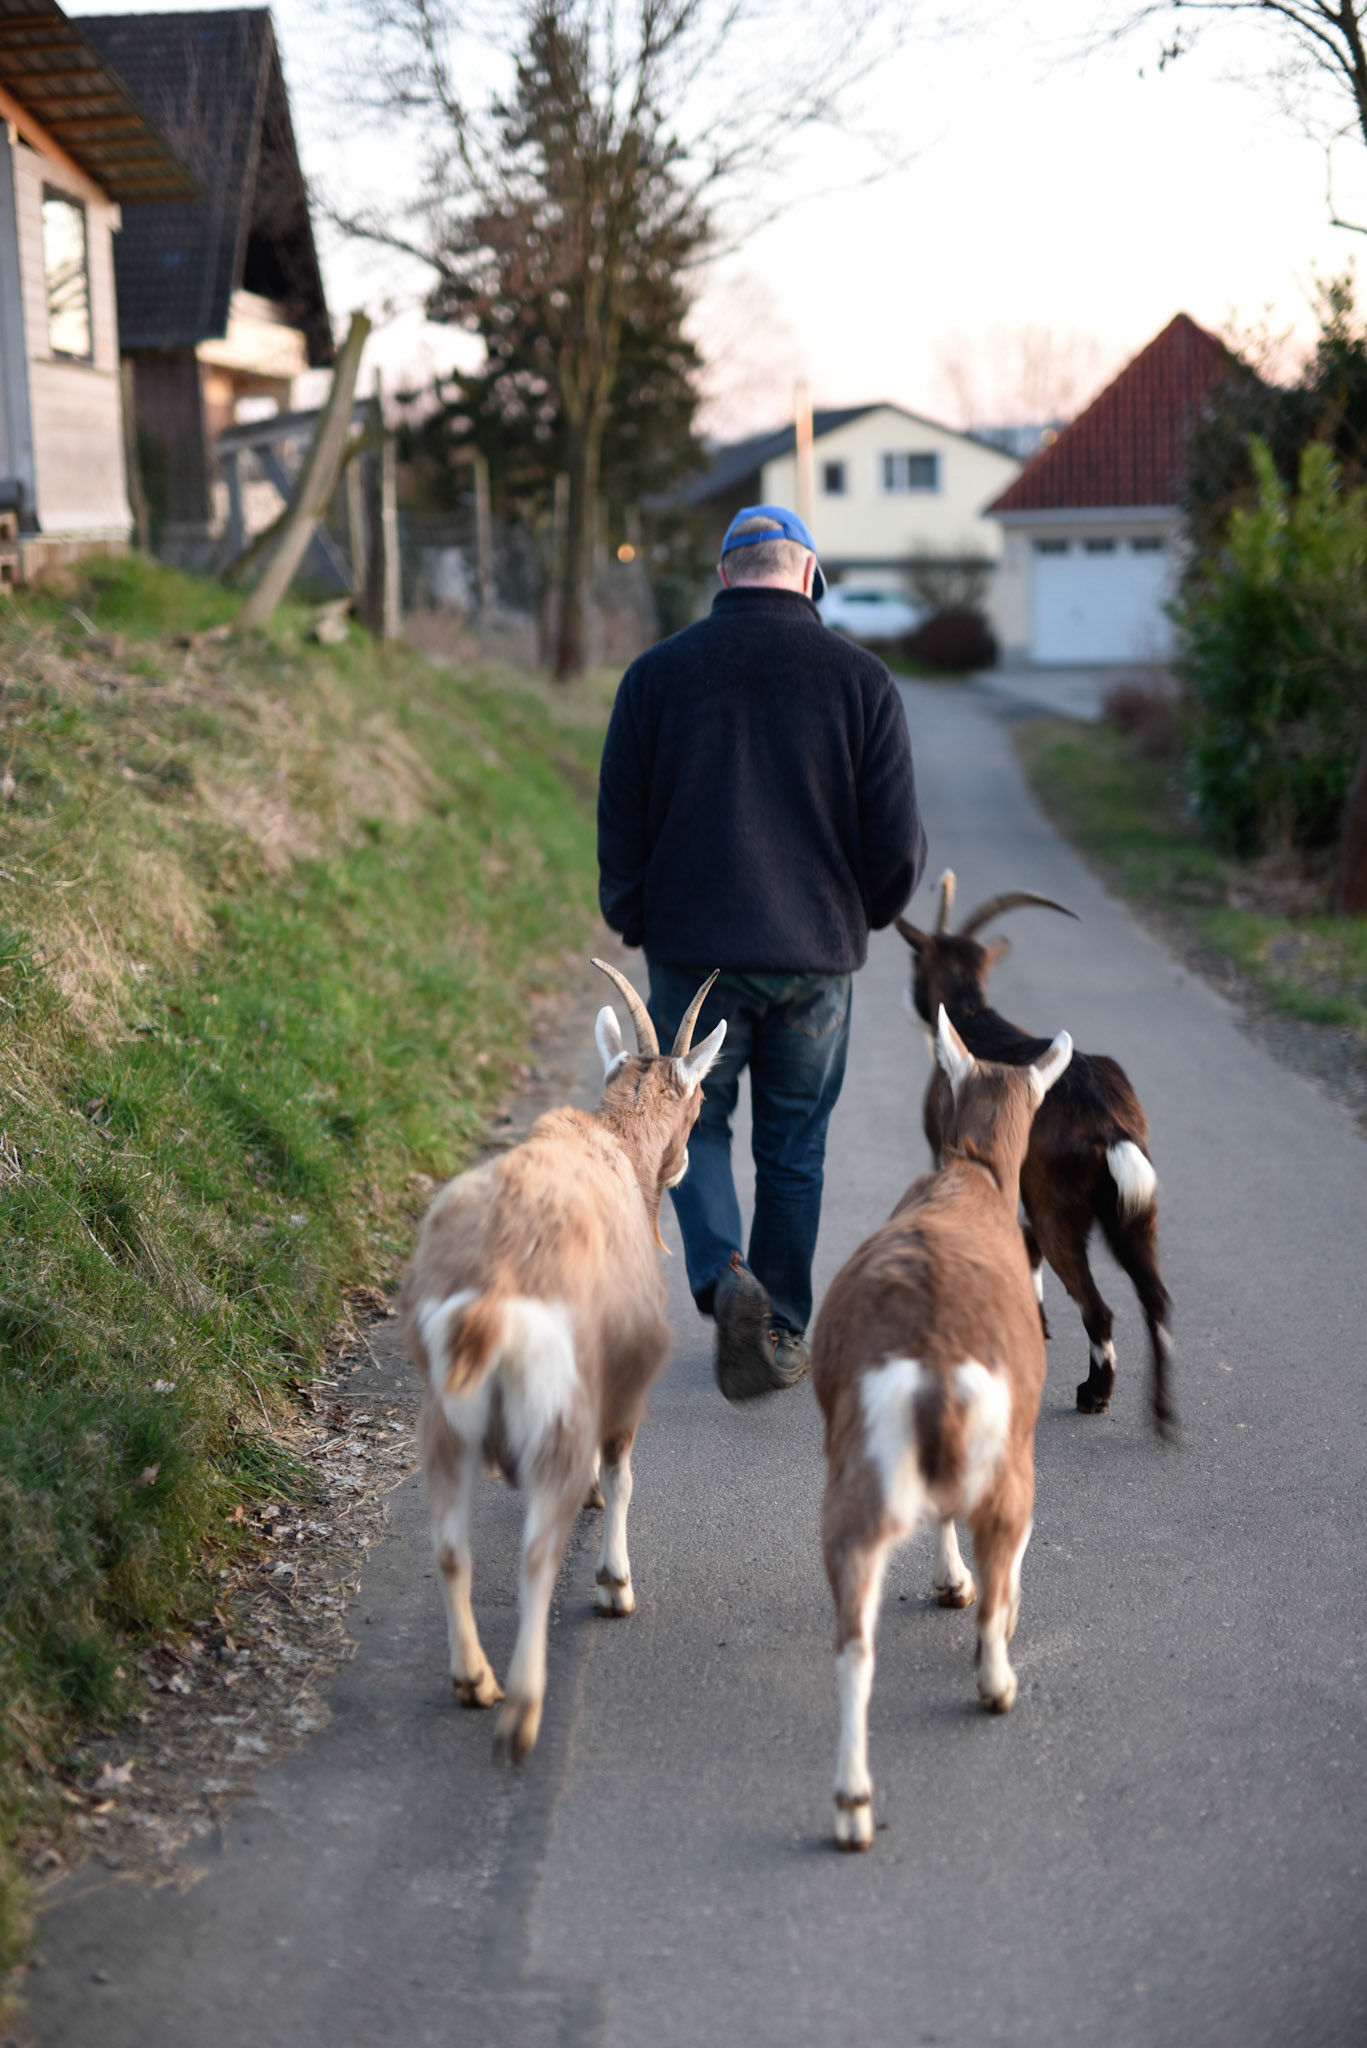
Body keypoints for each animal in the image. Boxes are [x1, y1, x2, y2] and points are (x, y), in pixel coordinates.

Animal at [399, 960, 725, 1763]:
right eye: (701, 1098)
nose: (680, 1163)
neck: (611, 1141)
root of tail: (495, 1288)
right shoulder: (626, 1376)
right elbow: (623, 1472)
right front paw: (615, 1584)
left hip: (443, 1422)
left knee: (450, 1548)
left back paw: (475, 1681)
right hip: (555, 1407)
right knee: (536, 1553)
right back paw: (522, 1711)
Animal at [813, 1007, 1073, 1851]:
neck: (974, 1175)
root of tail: (930, 1361)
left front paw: (944, 1584)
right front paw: (960, 1593)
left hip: (857, 1486)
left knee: (853, 1646)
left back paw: (852, 1807)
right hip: (1009, 1465)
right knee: (998, 1566)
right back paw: (996, 1682)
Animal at [897, 870, 1174, 1437]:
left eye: (916, 957)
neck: (971, 1020)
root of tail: (1108, 1121)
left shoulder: (951, 1154)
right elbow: (1021, 1246)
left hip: (1060, 1206)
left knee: (1097, 1305)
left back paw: (1095, 1395)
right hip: (1136, 1207)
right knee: (1154, 1295)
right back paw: (1161, 1416)